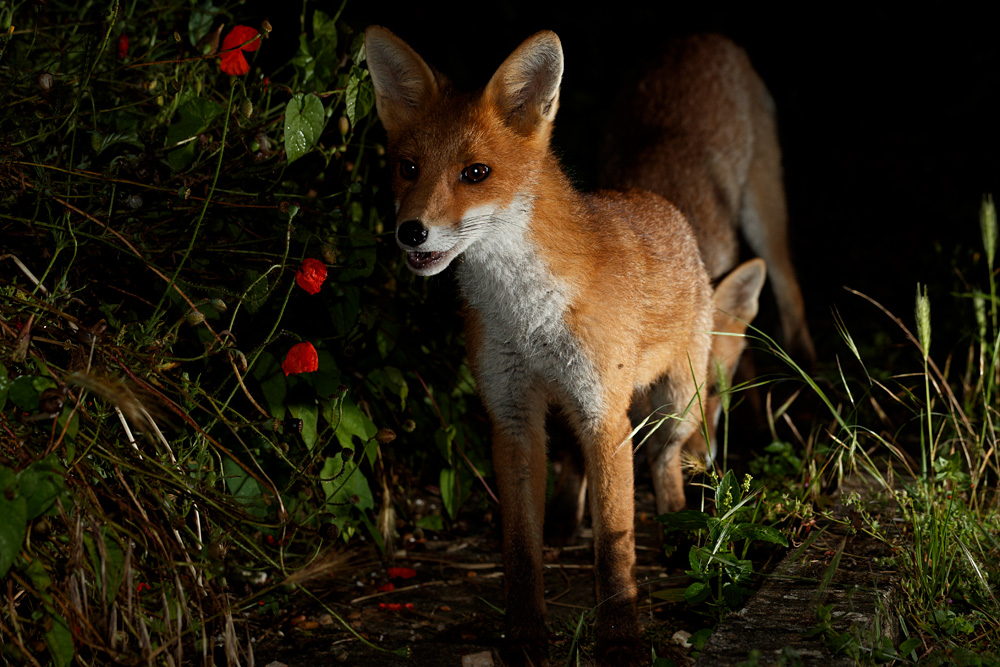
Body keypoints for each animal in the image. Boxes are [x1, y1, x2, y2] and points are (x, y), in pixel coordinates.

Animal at [364, 26, 765, 666]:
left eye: (476, 173)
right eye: (408, 168)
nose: (411, 232)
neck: (528, 314)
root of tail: (656, 200)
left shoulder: (605, 415)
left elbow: (615, 550)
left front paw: (620, 639)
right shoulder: (512, 415)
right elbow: (520, 551)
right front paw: (525, 636)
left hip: (677, 401)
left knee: (666, 459)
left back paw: (681, 537)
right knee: (589, 464)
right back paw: (574, 526)